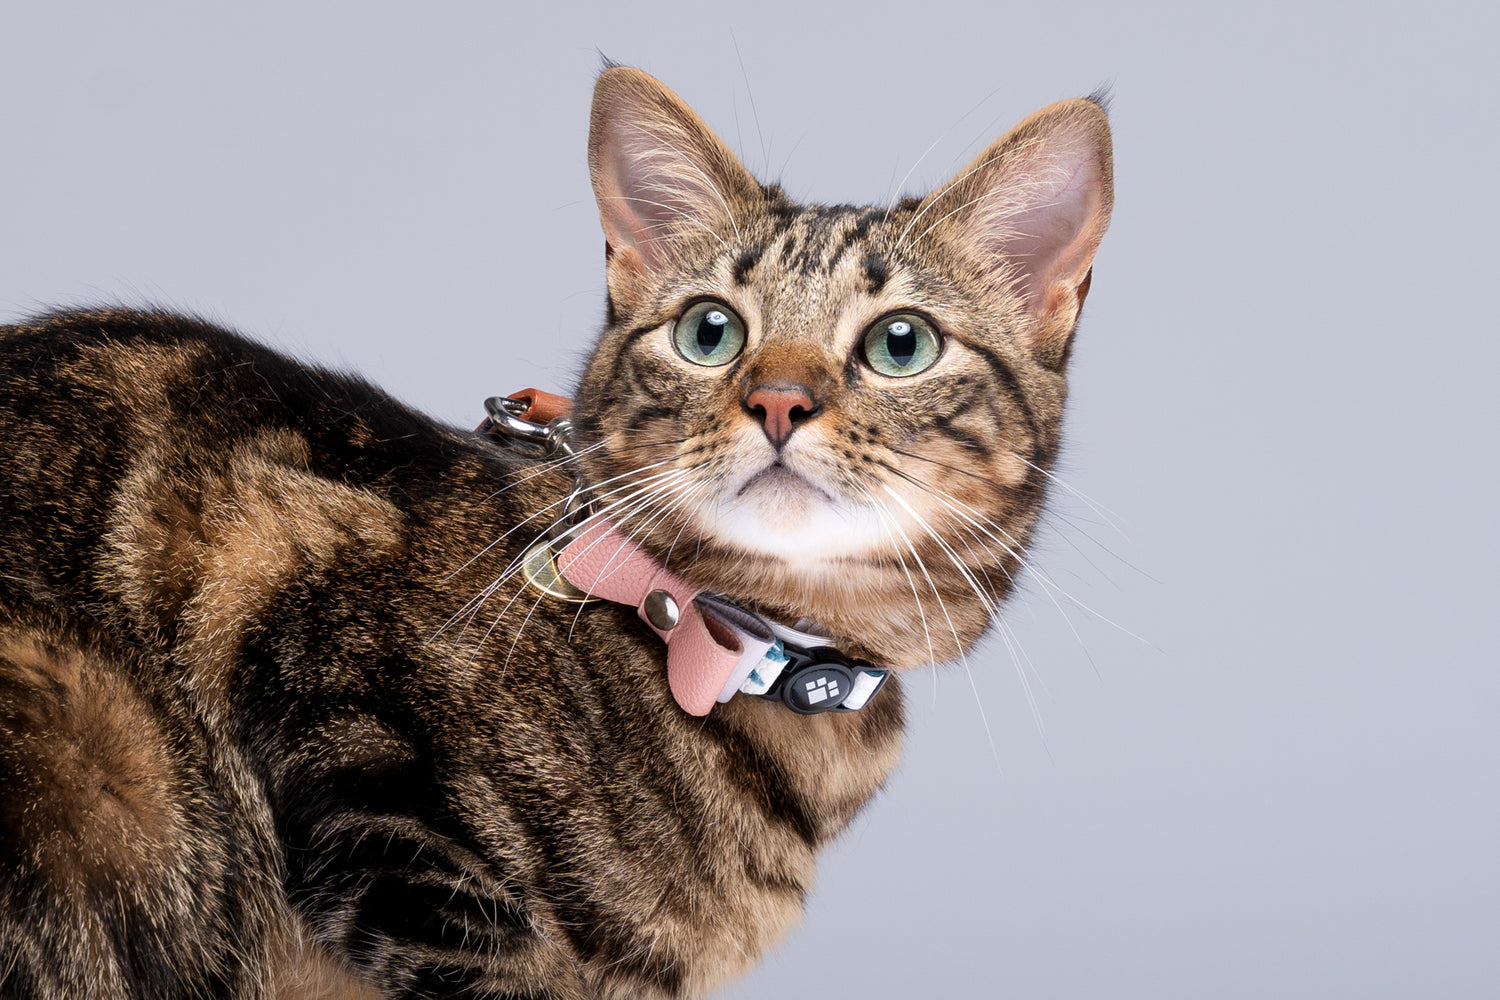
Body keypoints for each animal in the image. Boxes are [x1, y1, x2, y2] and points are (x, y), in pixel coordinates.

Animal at [0, 66, 1104, 995]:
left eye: (900, 344)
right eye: (710, 331)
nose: (780, 401)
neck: (715, 638)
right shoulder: (300, 621)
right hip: (90, 740)